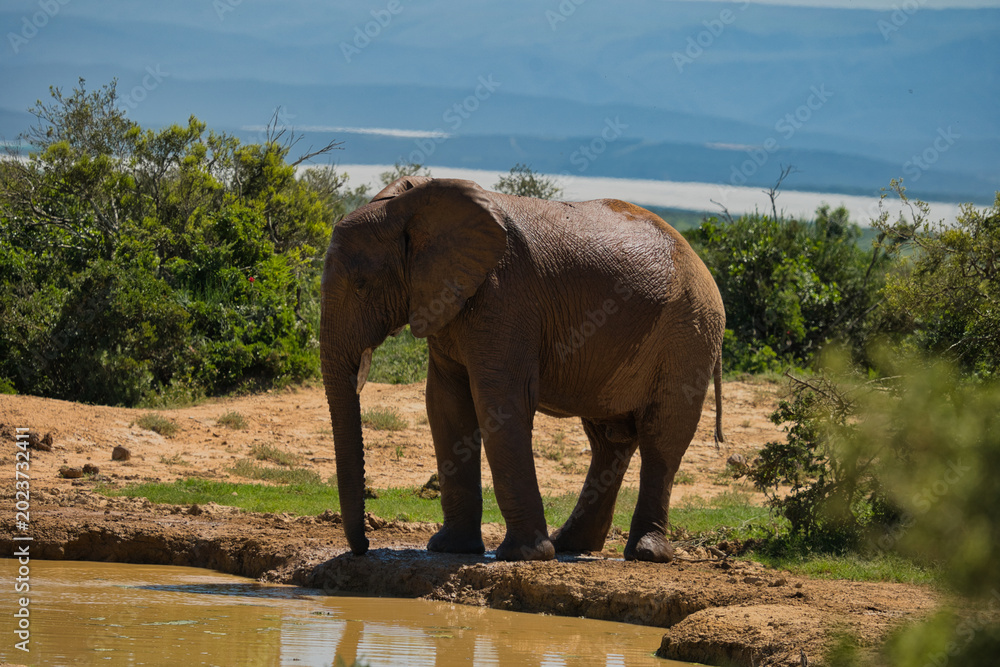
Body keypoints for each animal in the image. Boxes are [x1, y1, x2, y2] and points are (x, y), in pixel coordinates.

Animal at [320, 176, 725, 562]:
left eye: (362, 284)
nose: (363, 547)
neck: (410, 208)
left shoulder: (504, 295)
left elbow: (500, 402)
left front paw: (522, 556)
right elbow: (445, 405)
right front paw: (450, 549)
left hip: (688, 332)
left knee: (661, 438)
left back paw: (645, 554)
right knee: (610, 441)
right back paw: (571, 545)